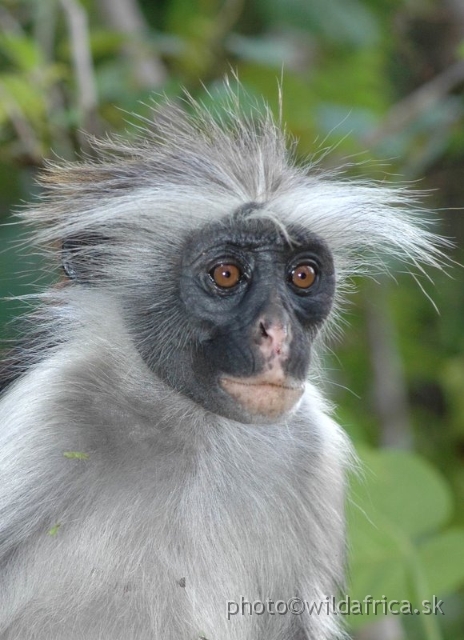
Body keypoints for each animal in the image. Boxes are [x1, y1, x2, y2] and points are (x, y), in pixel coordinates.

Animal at [0, 96, 444, 640]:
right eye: (226, 274)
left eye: (303, 275)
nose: (279, 333)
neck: (193, 427)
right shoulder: (48, 410)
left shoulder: (313, 450)